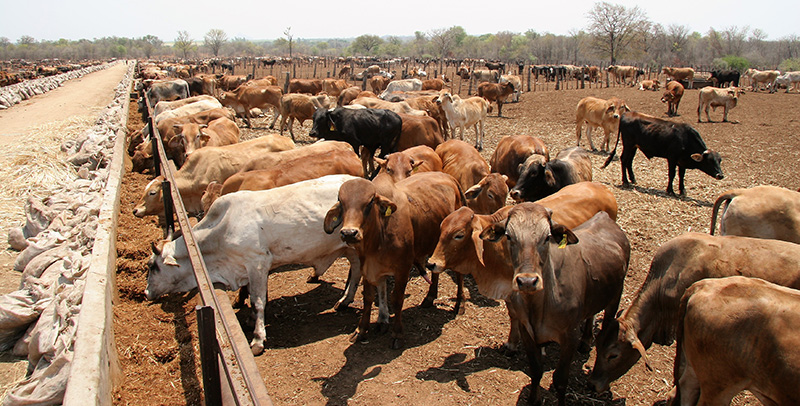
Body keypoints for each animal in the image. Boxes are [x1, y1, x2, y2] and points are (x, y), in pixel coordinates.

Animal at [145, 174, 364, 356]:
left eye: (152, 266)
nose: (146, 293)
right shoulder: (246, 267)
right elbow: (250, 296)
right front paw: (250, 320)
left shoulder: (257, 263)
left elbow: (258, 301)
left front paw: (258, 339)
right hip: (350, 250)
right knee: (356, 272)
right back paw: (345, 300)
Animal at [322, 173, 466, 348]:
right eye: (341, 202)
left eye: (370, 201)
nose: (349, 233)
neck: (378, 237)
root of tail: (450, 177)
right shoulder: (367, 268)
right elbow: (368, 297)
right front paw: (361, 330)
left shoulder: (403, 270)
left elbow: (396, 300)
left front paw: (397, 333)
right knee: (435, 270)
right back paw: (430, 297)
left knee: (459, 273)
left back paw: (460, 303)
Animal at [478, 206, 628, 406]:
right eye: (509, 236)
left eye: (547, 237)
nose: (527, 281)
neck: (539, 307)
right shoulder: (527, 332)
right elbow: (536, 371)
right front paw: (533, 400)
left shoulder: (570, 336)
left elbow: (560, 380)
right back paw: (586, 340)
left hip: (615, 297)